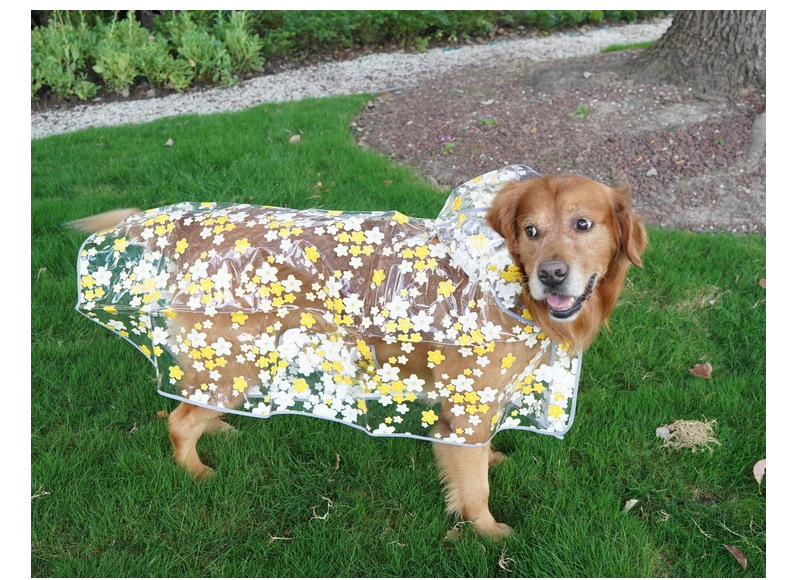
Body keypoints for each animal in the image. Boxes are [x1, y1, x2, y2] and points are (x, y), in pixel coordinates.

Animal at [72, 166, 646, 540]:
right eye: (530, 230)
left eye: (583, 224)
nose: (552, 275)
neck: (501, 278)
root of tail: (189, 226)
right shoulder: (467, 402)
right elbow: (474, 487)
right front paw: (489, 533)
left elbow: (477, 454)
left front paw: (492, 461)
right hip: (238, 356)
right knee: (177, 420)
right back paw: (196, 472)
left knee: (190, 402)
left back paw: (219, 427)